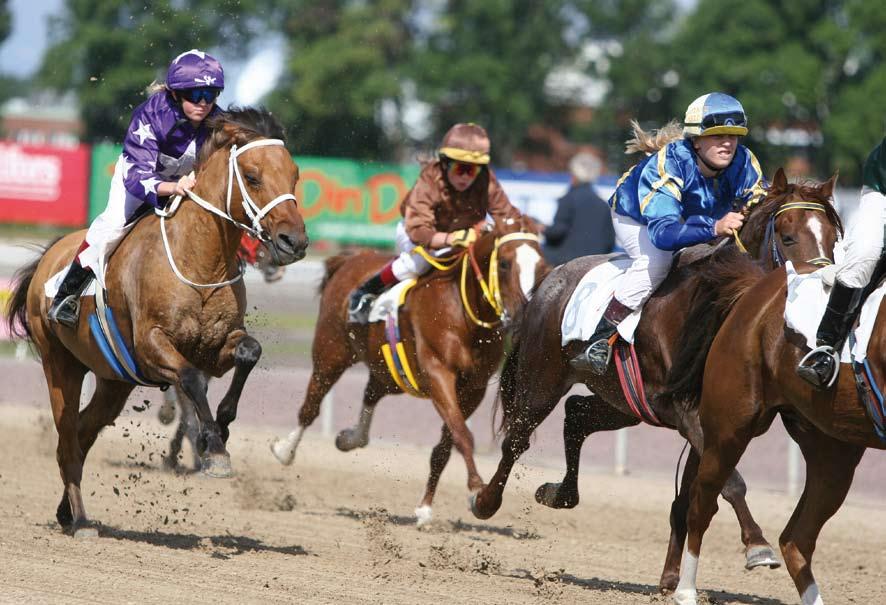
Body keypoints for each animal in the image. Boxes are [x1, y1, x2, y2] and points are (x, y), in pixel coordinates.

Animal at [5, 107, 308, 532]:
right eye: (252, 176)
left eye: (294, 174)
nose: (294, 241)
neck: (199, 260)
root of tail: (49, 256)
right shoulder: (152, 347)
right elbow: (191, 382)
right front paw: (213, 447)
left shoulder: (215, 347)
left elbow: (249, 352)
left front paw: (221, 426)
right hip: (60, 365)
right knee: (67, 438)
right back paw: (80, 519)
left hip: (113, 381)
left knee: (83, 432)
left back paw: (67, 510)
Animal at [270, 216, 548, 524]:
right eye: (505, 263)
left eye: (541, 266)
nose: (522, 313)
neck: (463, 311)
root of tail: (350, 259)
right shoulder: (438, 374)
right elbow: (463, 436)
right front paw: (476, 489)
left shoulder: (473, 389)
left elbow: (445, 446)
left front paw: (425, 507)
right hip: (331, 352)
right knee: (311, 405)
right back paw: (284, 450)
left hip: (388, 369)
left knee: (371, 392)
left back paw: (351, 438)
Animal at [468, 170, 844, 588]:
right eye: (789, 237)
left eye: (834, 238)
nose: (826, 298)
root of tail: (550, 281)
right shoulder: (683, 411)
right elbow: (730, 483)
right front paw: (757, 546)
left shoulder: (714, 422)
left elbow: (698, 494)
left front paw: (672, 576)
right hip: (542, 380)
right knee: (517, 439)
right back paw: (485, 501)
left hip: (623, 402)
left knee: (576, 415)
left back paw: (558, 493)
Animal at [672, 252, 886, 600]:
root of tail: (755, 288)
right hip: (729, 431)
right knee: (701, 505)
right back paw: (686, 592)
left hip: (834, 453)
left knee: (796, 540)